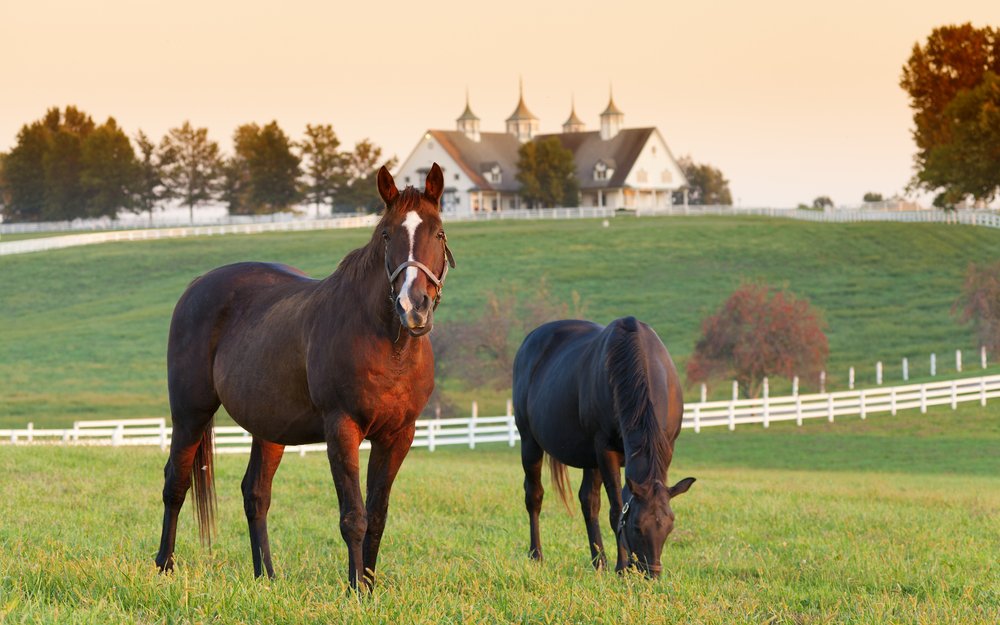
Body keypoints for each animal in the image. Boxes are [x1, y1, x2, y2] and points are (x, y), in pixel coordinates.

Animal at [156, 163, 458, 588]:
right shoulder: (342, 428)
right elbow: (354, 517)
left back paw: (265, 576)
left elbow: (377, 517)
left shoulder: (398, 436)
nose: (413, 306)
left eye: (439, 232)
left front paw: (368, 585)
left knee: (256, 494)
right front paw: (356, 590)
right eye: (386, 234)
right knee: (176, 483)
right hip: (190, 414)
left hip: (269, 427)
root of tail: (196, 286)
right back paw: (164, 565)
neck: (388, 345)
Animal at [512, 314, 692, 576]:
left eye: (669, 526)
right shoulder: (605, 450)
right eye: (637, 527)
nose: (651, 573)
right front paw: (622, 567)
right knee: (534, 495)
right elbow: (617, 509)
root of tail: (529, 340)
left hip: (589, 457)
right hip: (530, 442)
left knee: (589, 502)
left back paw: (599, 562)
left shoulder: (664, 448)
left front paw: (620, 565)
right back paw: (536, 555)